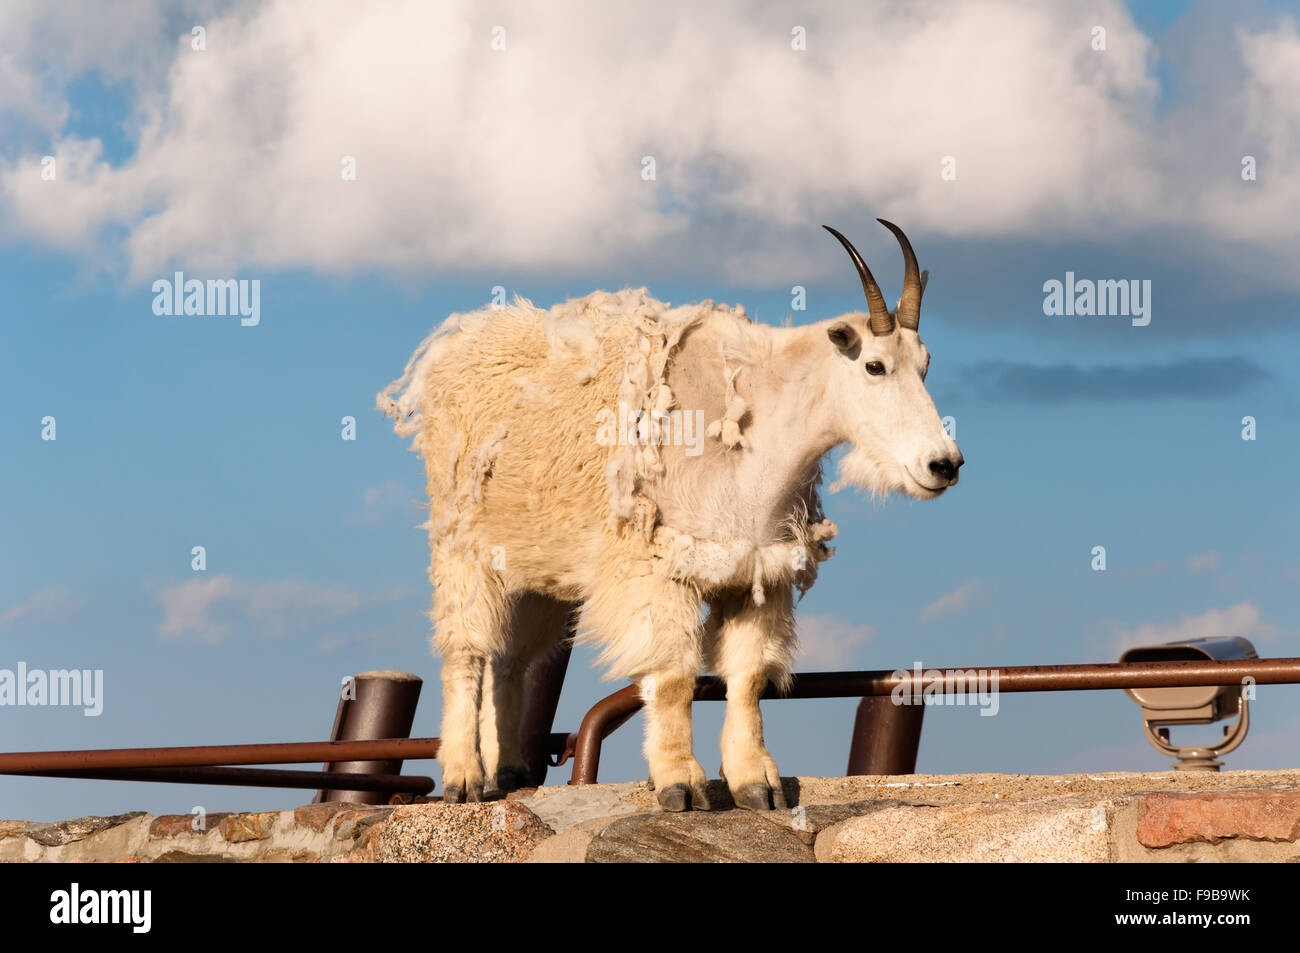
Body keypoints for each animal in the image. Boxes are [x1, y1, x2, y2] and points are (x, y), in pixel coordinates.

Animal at [379, 221, 961, 811]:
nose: (944, 464)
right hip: (462, 542)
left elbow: (748, 677)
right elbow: (675, 675)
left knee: (512, 659)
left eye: (926, 366)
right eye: (874, 365)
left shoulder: (757, 571)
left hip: (536, 567)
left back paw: (511, 769)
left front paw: (757, 784)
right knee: (467, 650)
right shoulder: (657, 566)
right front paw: (681, 783)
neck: (755, 423)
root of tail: (453, 345)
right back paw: (464, 777)